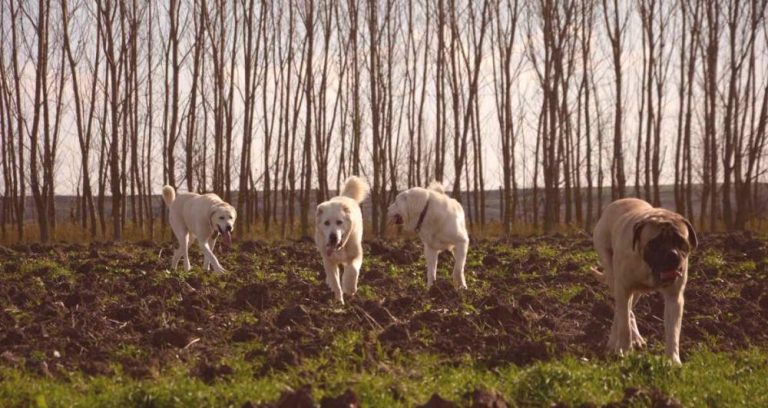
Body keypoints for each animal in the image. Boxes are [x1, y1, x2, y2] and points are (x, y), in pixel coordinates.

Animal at [592, 198, 696, 364]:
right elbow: (624, 325)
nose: (672, 255)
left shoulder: (675, 297)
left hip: (636, 292)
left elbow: (673, 330)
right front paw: (624, 351)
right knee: (622, 311)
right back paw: (616, 342)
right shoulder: (623, 288)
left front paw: (673, 360)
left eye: (680, 241)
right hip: (610, 269)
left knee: (626, 310)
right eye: (655, 243)